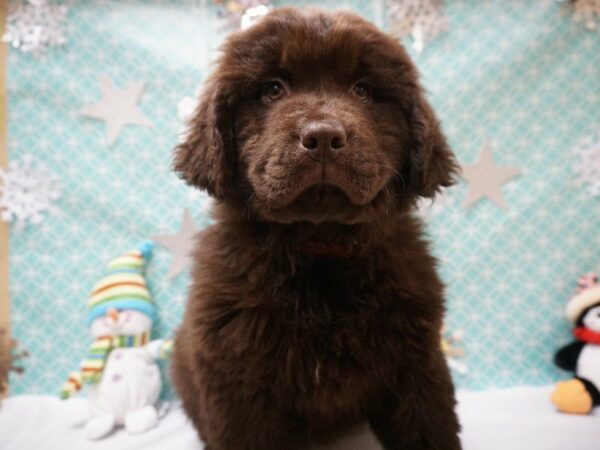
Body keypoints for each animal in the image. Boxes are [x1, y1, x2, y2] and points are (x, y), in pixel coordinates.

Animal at [171, 7, 462, 450]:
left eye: (363, 90)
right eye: (273, 89)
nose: (323, 136)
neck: (320, 246)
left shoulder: (416, 364)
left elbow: (430, 429)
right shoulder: (238, 381)